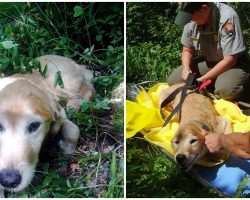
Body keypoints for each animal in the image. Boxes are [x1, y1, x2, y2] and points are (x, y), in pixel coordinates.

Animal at [0, 54, 94, 197]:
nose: (8, 181)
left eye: (34, 125)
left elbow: (74, 130)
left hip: (62, 82)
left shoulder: (59, 112)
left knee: (88, 90)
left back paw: (74, 105)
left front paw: (66, 146)